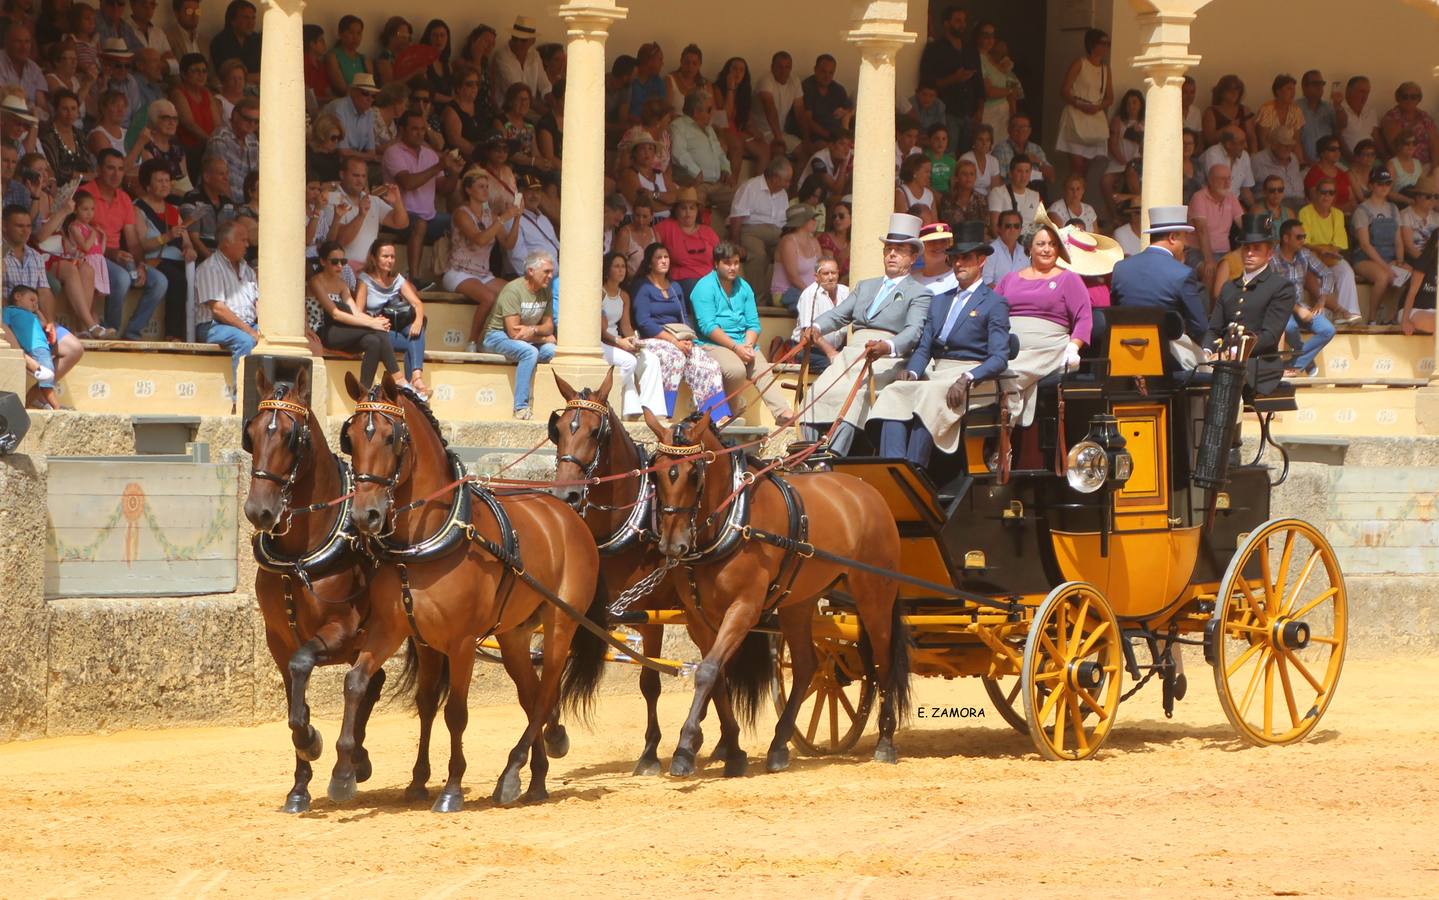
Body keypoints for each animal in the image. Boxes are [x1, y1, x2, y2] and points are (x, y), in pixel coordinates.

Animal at [244, 365, 425, 812]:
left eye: (292, 436)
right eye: (250, 433)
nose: (259, 511)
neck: (298, 557)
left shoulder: (340, 630)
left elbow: (303, 668)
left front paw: (312, 742)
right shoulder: (278, 641)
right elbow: (295, 702)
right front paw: (299, 786)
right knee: (371, 683)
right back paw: (356, 759)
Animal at [338, 368, 607, 812]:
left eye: (392, 437)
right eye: (352, 437)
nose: (366, 514)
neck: (424, 542)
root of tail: (567, 514)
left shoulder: (461, 642)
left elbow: (456, 713)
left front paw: (450, 788)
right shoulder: (402, 633)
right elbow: (371, 686)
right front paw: (360, 773)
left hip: (559, 623)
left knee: (546, 691)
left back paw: (512, 773)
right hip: (513, 634)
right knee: (531, 694)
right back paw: (535, 780)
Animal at [549, 368, 748, 777]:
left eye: (596, 431)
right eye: (557, 429)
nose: (566, 495)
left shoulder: (652, 615)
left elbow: (649, 682)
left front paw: (650, 753)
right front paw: (553, 733)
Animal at [644, 411, 909, 777]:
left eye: (693, 474)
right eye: (655, 473)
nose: (673, 545)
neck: (733, 520)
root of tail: (865, 490)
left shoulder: (744, 608)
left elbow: (708, 672)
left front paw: (685, 748)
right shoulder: (698, 617)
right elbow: (717, 676)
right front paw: (730, 750)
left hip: (874, 597)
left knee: (884, 661)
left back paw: (885, 741)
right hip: (799, 602)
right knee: (806, 665)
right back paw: (780, 744)